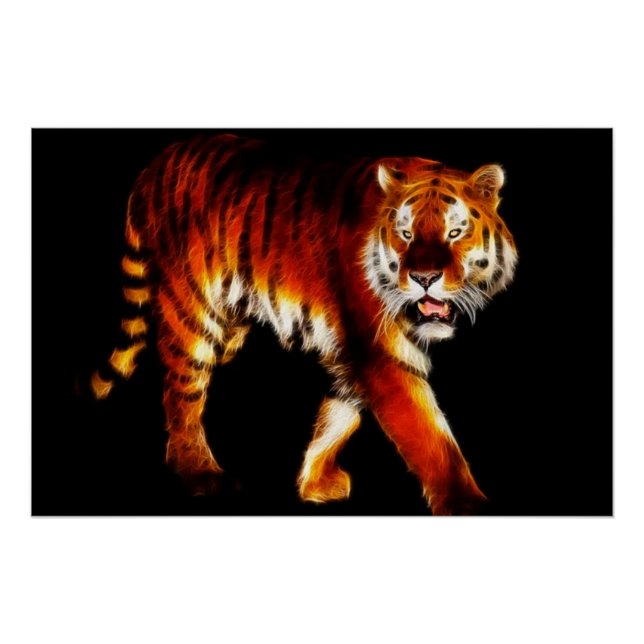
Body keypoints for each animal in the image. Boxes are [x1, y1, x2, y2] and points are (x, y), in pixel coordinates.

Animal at [90, 133, 517, 515]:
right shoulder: (380, 351)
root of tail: (154, 164)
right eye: (406, 234)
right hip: (191, 313)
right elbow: (431, 435)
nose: (424, 278)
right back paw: (200, 475)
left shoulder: (350, 351)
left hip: (228, 327)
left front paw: (314, 483)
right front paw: (466, 505)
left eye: (454, 232)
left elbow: (337, 414)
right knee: (182, 392)